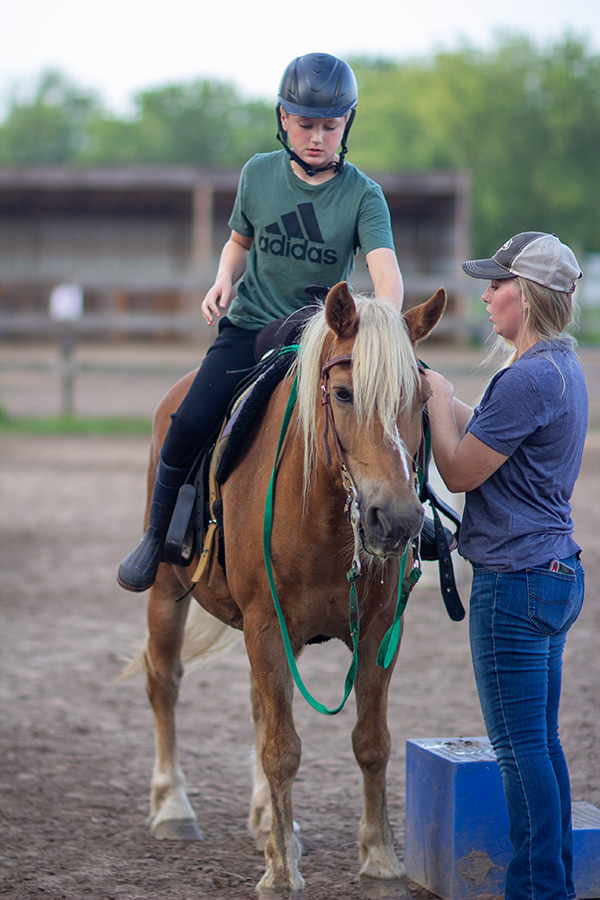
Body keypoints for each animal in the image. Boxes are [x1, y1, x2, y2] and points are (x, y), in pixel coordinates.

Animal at [127, 282, 446, 892]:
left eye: (420, 400)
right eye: (343, 393)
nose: (396, 520)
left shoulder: (376, 633)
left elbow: (371, 743)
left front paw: (380, 859)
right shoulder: (265, 622)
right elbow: (282, 750)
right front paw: (280, 875)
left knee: (258, 704)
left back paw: (269, 823)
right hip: (165, 592)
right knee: (164, 682)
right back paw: (173, 806)